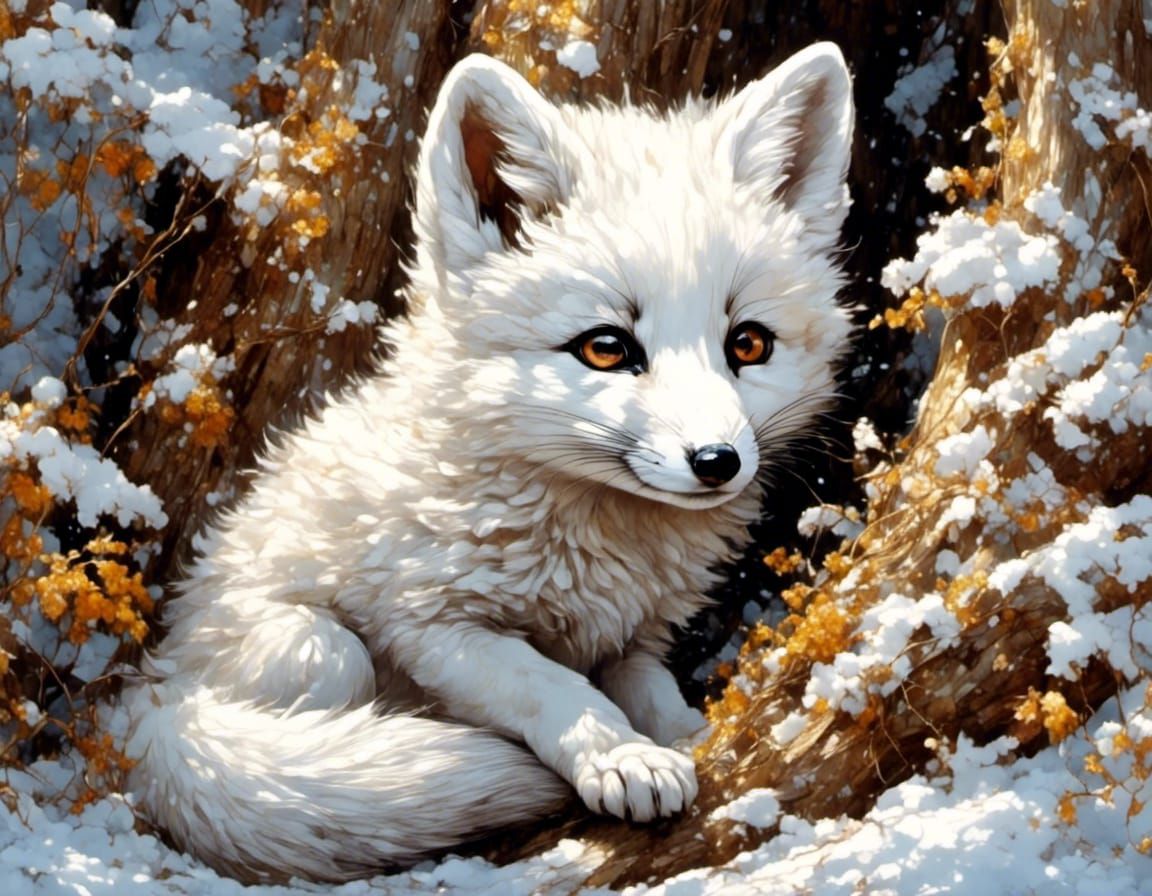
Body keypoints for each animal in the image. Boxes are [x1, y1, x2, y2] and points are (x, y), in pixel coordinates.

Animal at [121, 43, 854, 882]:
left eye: (748, 344)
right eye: (607, 348)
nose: (716, 460)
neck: (595, 544)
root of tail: (147, 696)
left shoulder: (634, 640)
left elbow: (651, 694)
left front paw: (681, 737)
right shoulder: (434, 627)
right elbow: (550, 687)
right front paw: (622, 760)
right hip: (313, 650)